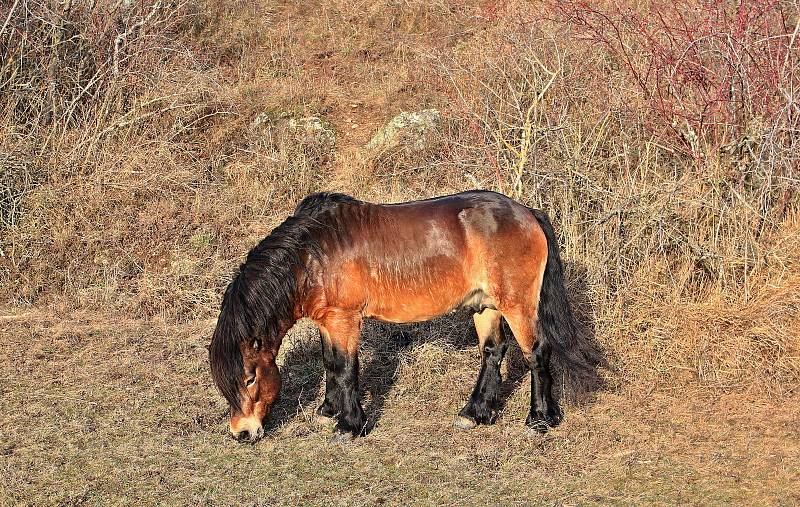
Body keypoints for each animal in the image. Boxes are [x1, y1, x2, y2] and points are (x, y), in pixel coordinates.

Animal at [206, 190, 584, 440]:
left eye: (250, 378)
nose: (242, 433)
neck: (312, 255)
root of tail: (528, 213)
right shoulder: (327, 321)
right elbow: (330, 364)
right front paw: (328, 412)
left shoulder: (344, 319)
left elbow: (345, 369)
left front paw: (349, 426)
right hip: (485, 305)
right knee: (493, 352)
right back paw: (474, 413)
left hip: (516, 305)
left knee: (536, 352)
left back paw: (538, 419)